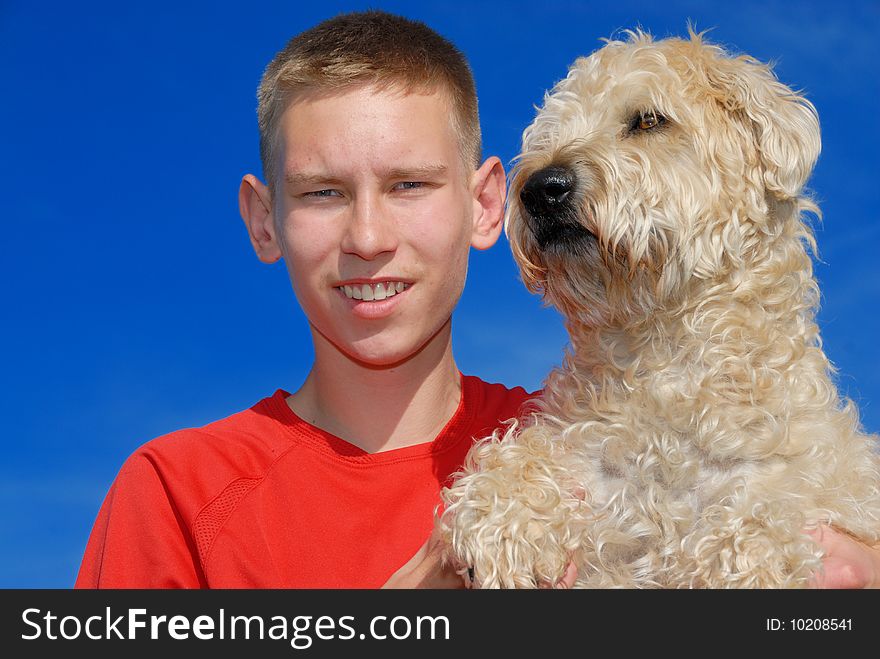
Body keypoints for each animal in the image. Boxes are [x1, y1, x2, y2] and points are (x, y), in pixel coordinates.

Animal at [440, 28, 880, 592]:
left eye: (648, 120)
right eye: (546, 134)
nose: (541, 189)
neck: (663, 358)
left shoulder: (808, 486)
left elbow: (761, 522)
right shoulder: (589, 462)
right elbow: (524, 456)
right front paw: (500, 520)